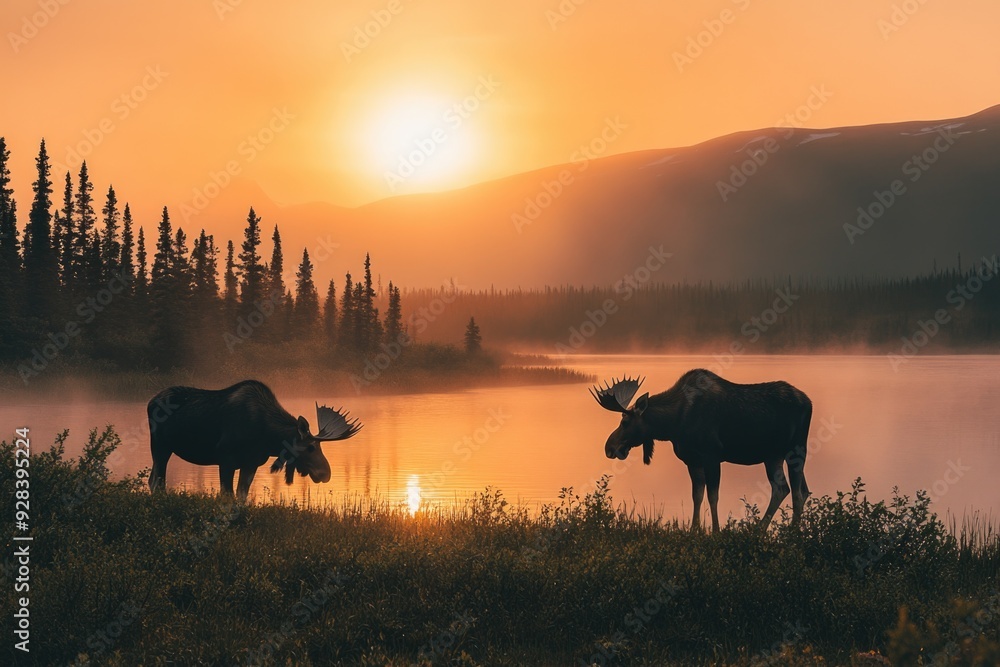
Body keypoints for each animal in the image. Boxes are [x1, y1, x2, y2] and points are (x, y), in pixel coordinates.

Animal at [148, 380, 364, 500]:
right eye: (311, 447)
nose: (326, 473)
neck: (268, 438)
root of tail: (150, 401)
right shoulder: (225, 459)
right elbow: (227, 496)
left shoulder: (251, 463)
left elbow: (242, 496)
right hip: (159, 446)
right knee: (158, 482)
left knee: (153, 480)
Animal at [592, 370, 812, 532]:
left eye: (625, 422)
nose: (609, 447)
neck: (673, 424)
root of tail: (808, 402)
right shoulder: (693, 461)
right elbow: (697, 496)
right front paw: (694, 530)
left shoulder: (712, 456)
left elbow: (713, 496)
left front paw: (715, 531)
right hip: (773, 455)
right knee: (788, 489)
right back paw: (760, 530)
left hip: (796, 450)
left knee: (796, 492)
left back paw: (791, 533)